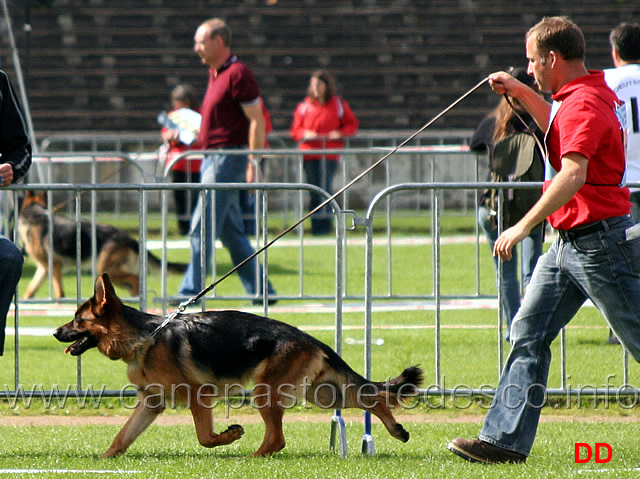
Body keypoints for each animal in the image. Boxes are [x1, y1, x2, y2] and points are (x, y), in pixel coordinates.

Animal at [17, 189, 186, 298]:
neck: (35, 216)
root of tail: (131, 240)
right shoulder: (43, 269)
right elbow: (30, 291)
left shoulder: (55, 265)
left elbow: (59, 293)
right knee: (134, 282)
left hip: (106, 269)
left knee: (136, 279)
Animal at [53, 274, 424, 458]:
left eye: (77, 320)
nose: (55, 332)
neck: (145, 336)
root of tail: (309, 338)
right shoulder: (151, 403)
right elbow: (122, 436)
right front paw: (105, 460)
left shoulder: (198, 395)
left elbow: (204, 437)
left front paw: (228, 436)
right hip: (322, 394)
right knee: (371, 399)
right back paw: (397, 430)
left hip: (267, 393)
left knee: (278, 439)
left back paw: (251, 458)